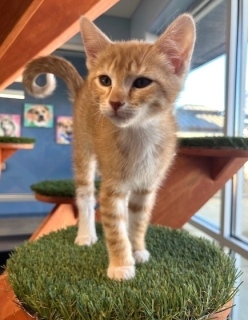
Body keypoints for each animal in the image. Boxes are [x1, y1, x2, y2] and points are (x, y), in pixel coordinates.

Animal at [24, 15, 197, 280]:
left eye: (142, 82)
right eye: (105, 80)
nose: (115, 102)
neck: (140, 137)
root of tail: (83, 88)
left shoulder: (146, 187)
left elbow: (138, 220)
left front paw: (137, 249)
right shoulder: (112, 188)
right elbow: (114, 227)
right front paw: (121, 264)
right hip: (83, 153)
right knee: (85, 195)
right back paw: (86, 234)